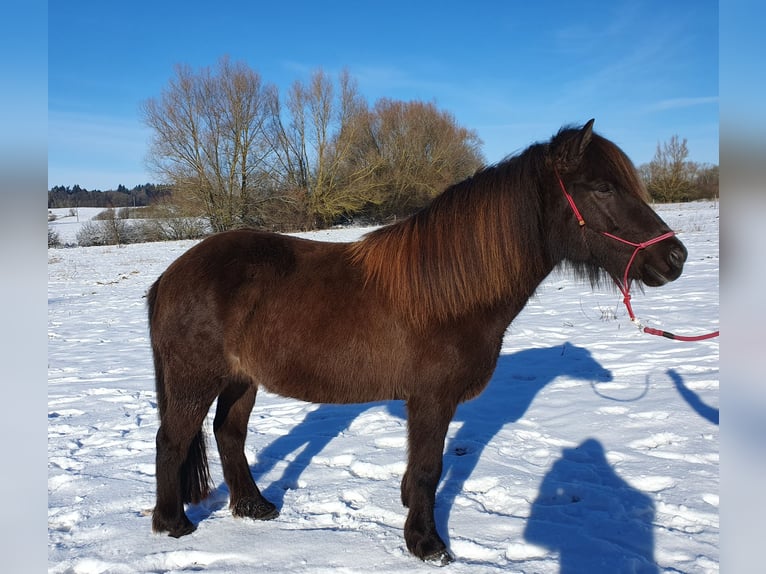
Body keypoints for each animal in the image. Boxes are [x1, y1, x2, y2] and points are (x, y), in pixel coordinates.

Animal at [146, 119, 687, 565]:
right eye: (602, 187)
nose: (675, 258)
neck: (453, 292)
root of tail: (171, 275)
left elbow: (419, 471)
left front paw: (412, 515)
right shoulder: (431, 399)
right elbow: (429, 468)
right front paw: (427, 544)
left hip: (242, 380)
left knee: (228, 434)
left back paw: (254, 506)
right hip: (196, 379)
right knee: (172, 440)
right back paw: (173, 523)